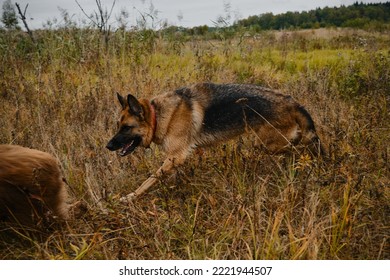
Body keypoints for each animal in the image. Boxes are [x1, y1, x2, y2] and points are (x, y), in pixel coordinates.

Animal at [106, 82, 322, 201]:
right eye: (118, 126)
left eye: (126, 128)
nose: (108, 146)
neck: (157, 116)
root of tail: (293, 102)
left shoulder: (175, 157)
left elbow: (149, 180)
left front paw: (130, 197)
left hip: (268, 144)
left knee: (297, 150)